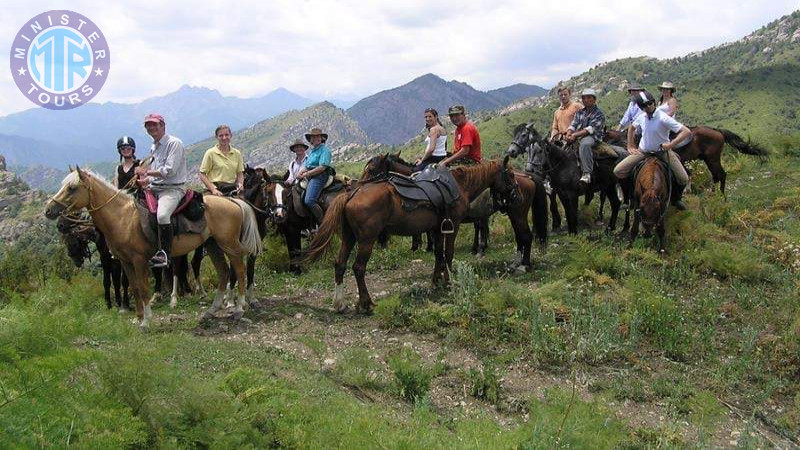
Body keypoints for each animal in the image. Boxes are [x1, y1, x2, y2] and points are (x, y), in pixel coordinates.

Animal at [45, 168, 262, 326]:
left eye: (72, 188)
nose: (49, 210)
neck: (123, 217)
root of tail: (233, 200)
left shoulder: (139, 260)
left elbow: (142, 288)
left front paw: (146, 321)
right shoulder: (125, 261)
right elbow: (133, 286)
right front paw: (138, 318)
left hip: (229, 245)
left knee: (239, 271)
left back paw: (239, 308)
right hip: (213, 245)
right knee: (224, 272)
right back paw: (210, 311)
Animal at [300, 158, 520, 312]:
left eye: (371, 168)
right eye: (510, 174)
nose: (516, 193)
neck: (459, 185)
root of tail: (351, 193)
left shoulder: (436, 229)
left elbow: (438, 255)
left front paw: (435, 282)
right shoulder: (453, 226)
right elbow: (448, 254)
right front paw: (449, 281)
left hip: (349, 237)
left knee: (340, 265)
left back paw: (340, 304)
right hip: (366, 240)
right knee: (358, 268)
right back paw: (366, 303)